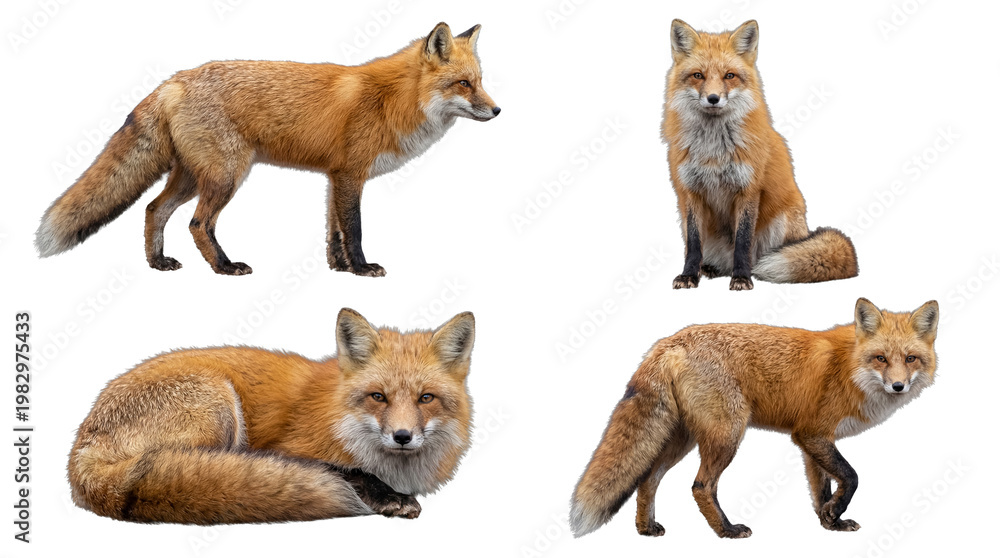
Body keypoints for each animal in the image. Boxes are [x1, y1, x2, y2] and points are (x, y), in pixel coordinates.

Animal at [36, 22, 499, 276]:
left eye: (479, 81)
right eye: (463, 84)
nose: (497, 110)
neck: (392, 99)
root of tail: (175, 79)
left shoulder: (334, 177)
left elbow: (333, 232)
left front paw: (339, 268)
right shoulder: (351, 174)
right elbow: (354, 229)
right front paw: (363, 269)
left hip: (191, 176)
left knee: (154, 210)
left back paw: (158, 263)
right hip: (227, 175)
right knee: (198, 223)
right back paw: (224, 267)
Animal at [67, 308, 475, 524]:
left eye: (426, 398)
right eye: (379, 397)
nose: (402, 436)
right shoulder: (290, 447)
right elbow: (345, 469)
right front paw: (387, 496)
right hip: (220, 408)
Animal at [570, 298, 938, 539]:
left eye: (910, 359)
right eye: (880, 358)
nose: (898, 386)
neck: (849, 368)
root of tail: (667, 342)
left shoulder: (813, 441)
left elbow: (821, 488)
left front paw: (830, 522)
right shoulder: (812, 434)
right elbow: (851, 477)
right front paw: (834, 513)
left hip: (682, 438)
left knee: (648, 479)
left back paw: (646, 529)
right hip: (727, 435)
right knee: (700, 486)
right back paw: (726, 530)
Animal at [663, 19, 858, 290]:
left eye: (729, 76)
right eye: (698, 75)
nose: (713, 98)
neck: (714, 151)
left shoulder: (749, 189)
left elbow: (743, 242)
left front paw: (742, 278)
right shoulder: (690, 191)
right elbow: (693, 244)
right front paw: (689, 275)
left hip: (782, 222)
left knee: (760, 255)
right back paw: (710, 269)